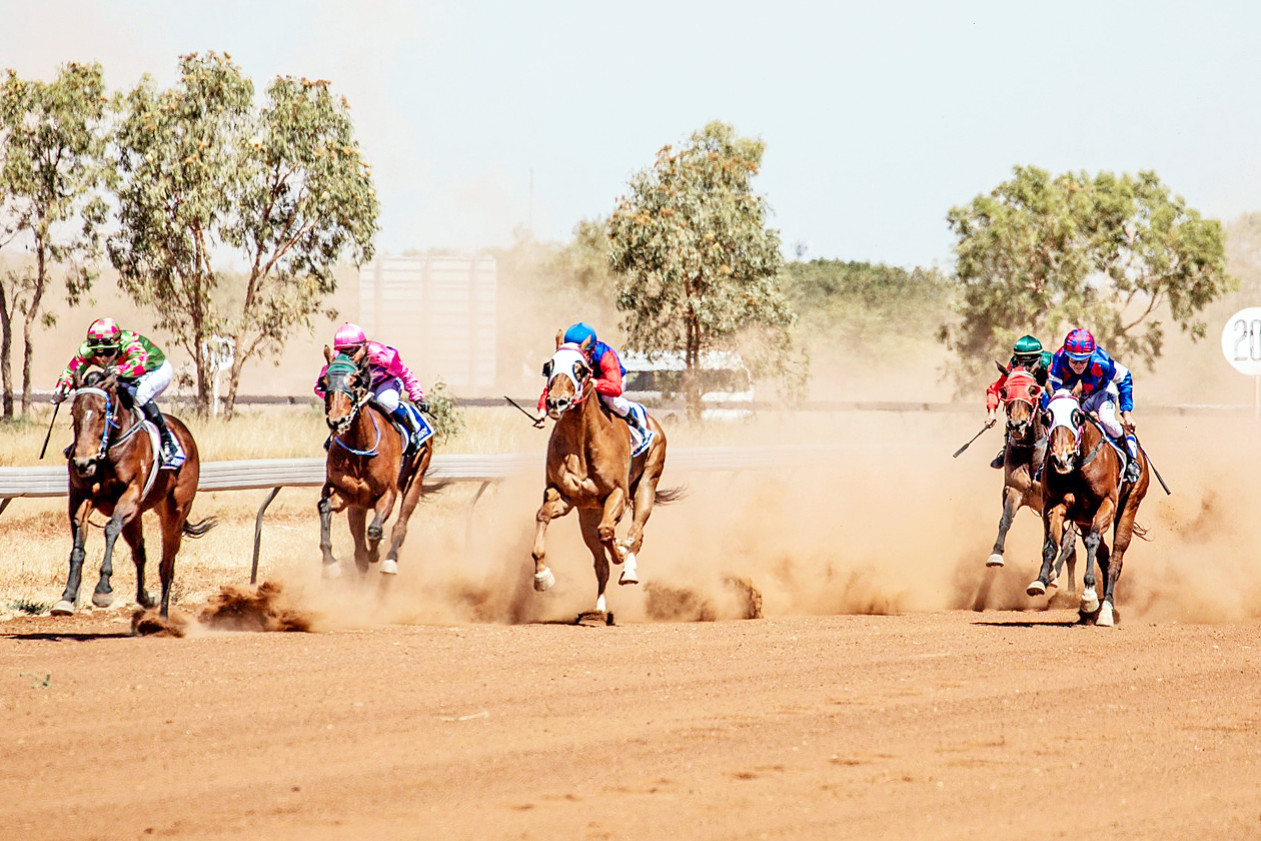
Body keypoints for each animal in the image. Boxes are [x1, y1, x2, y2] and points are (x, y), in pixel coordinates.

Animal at [54, 368, 215, 617]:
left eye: (103, 412)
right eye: (74, 412)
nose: (82, 462)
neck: (109, 452)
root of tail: (185, 434)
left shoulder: (130, 496)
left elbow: (110, 529)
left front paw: (103, 590)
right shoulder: (82, 498)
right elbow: (78, 545)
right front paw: (68, 595)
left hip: (175, 512)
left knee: (167, 563)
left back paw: (162, 615)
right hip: (136, 517)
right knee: (140, 553)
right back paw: (145, 598)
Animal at [317, 348, 436, 580]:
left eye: (354, 381)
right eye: (324, 383)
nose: (337, 421)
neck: (360, 448)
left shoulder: (388, 492)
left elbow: (374, 530)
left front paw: (376, 551)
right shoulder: (346, 493)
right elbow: (325, 508)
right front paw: (330, 562)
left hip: (416, 478)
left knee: (400, 524)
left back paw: (389, 560)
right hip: (358, 505)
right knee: (358, 541)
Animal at [532, 335, 685, 617]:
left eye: (580, 370)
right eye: (549, 366)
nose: (556, 402)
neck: (581, 442)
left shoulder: (618, 494)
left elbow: (608, 532)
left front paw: (621, 554)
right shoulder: (565, 497)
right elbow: (542, 516)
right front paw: (541, 577)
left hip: (647, 485)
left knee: (636, 532)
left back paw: (629, 569)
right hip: (587, 516)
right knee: (601, 564)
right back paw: (599, 610)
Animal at [978, 365, 1079, 590]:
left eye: (1033, 390)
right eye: (1005, 391)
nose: (1017, 424)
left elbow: (1058, 541)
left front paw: (1048, 575)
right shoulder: (1017, 489)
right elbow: (1006, 520)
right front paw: (995, 555)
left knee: (1069, 544)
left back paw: (1055, 577)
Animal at [1028, 390, 1150, 625]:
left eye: (1077, 417)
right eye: (1047, 418)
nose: (1061, 458)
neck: (1077, 468)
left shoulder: (1107, 504)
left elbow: (1093, 542)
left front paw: (1088, 597)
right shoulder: (1057, 505)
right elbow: (1051, 542)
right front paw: (1041, 579)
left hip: (1130, 504)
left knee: (1116, 557)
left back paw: (1106, 609)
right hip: (1085, 519)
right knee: (1104, 556)